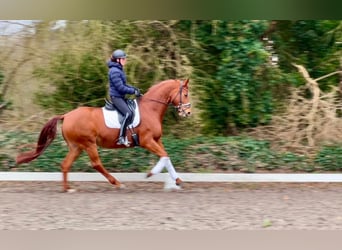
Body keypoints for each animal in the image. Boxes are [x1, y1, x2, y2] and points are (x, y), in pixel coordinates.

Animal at [16, 78, 191, 191]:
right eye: (186, 94)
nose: (188, 113)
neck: (150, 109)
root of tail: (66, 115)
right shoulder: (147, 141)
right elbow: (164, 156)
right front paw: (150, 174)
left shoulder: (156, 140)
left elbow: (166, 157)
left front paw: (178, 181)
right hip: (88, 144)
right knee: (96, 164)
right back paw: (117, 183)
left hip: (76, 147)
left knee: (65, 165)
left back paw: (68, 189)